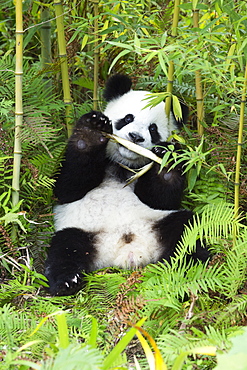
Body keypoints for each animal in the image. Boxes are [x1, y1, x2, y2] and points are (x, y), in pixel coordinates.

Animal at [44, 74, 208, 294]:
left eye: (153, 129)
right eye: (128, 118)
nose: (135, 137)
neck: (124, 164)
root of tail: (128, 252)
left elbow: (160, 199)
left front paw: (166, 157)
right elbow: (68, 187)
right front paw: (92, 131)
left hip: (160, 222)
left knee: (186, 231)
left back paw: (189, 267)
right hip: (82, 232)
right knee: (65, 249)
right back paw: (67, 281)